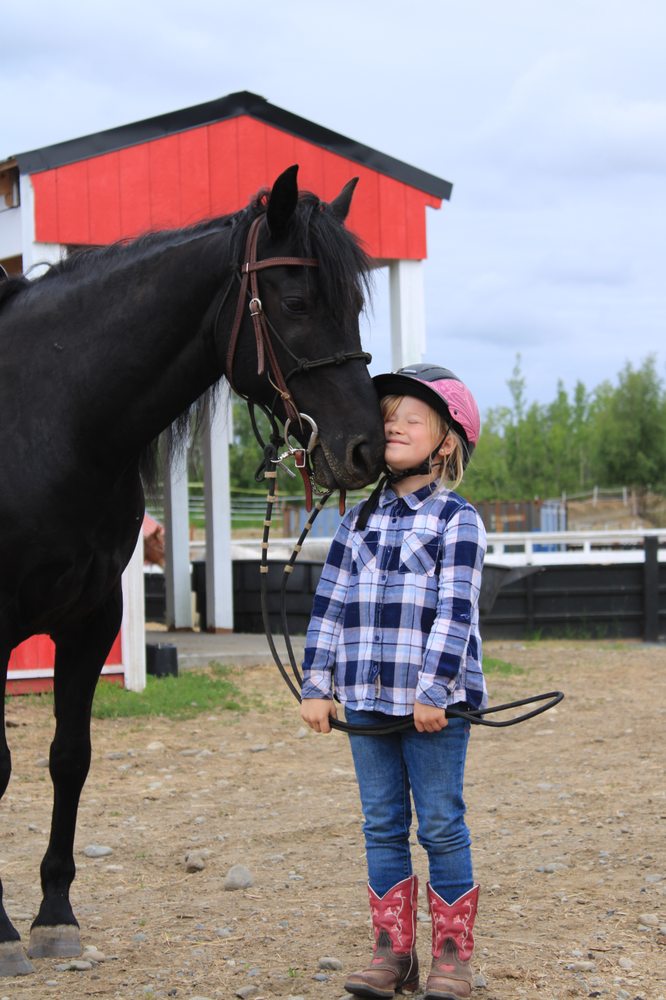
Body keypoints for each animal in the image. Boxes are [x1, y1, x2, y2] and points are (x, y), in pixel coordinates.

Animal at [0, 164, 385, 976]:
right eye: (298, 303)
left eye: (357, 305)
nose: (365, 448)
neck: (38, 417)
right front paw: (1, 929)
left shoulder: (91, 620)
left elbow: (69, 757)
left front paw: (54, 917)